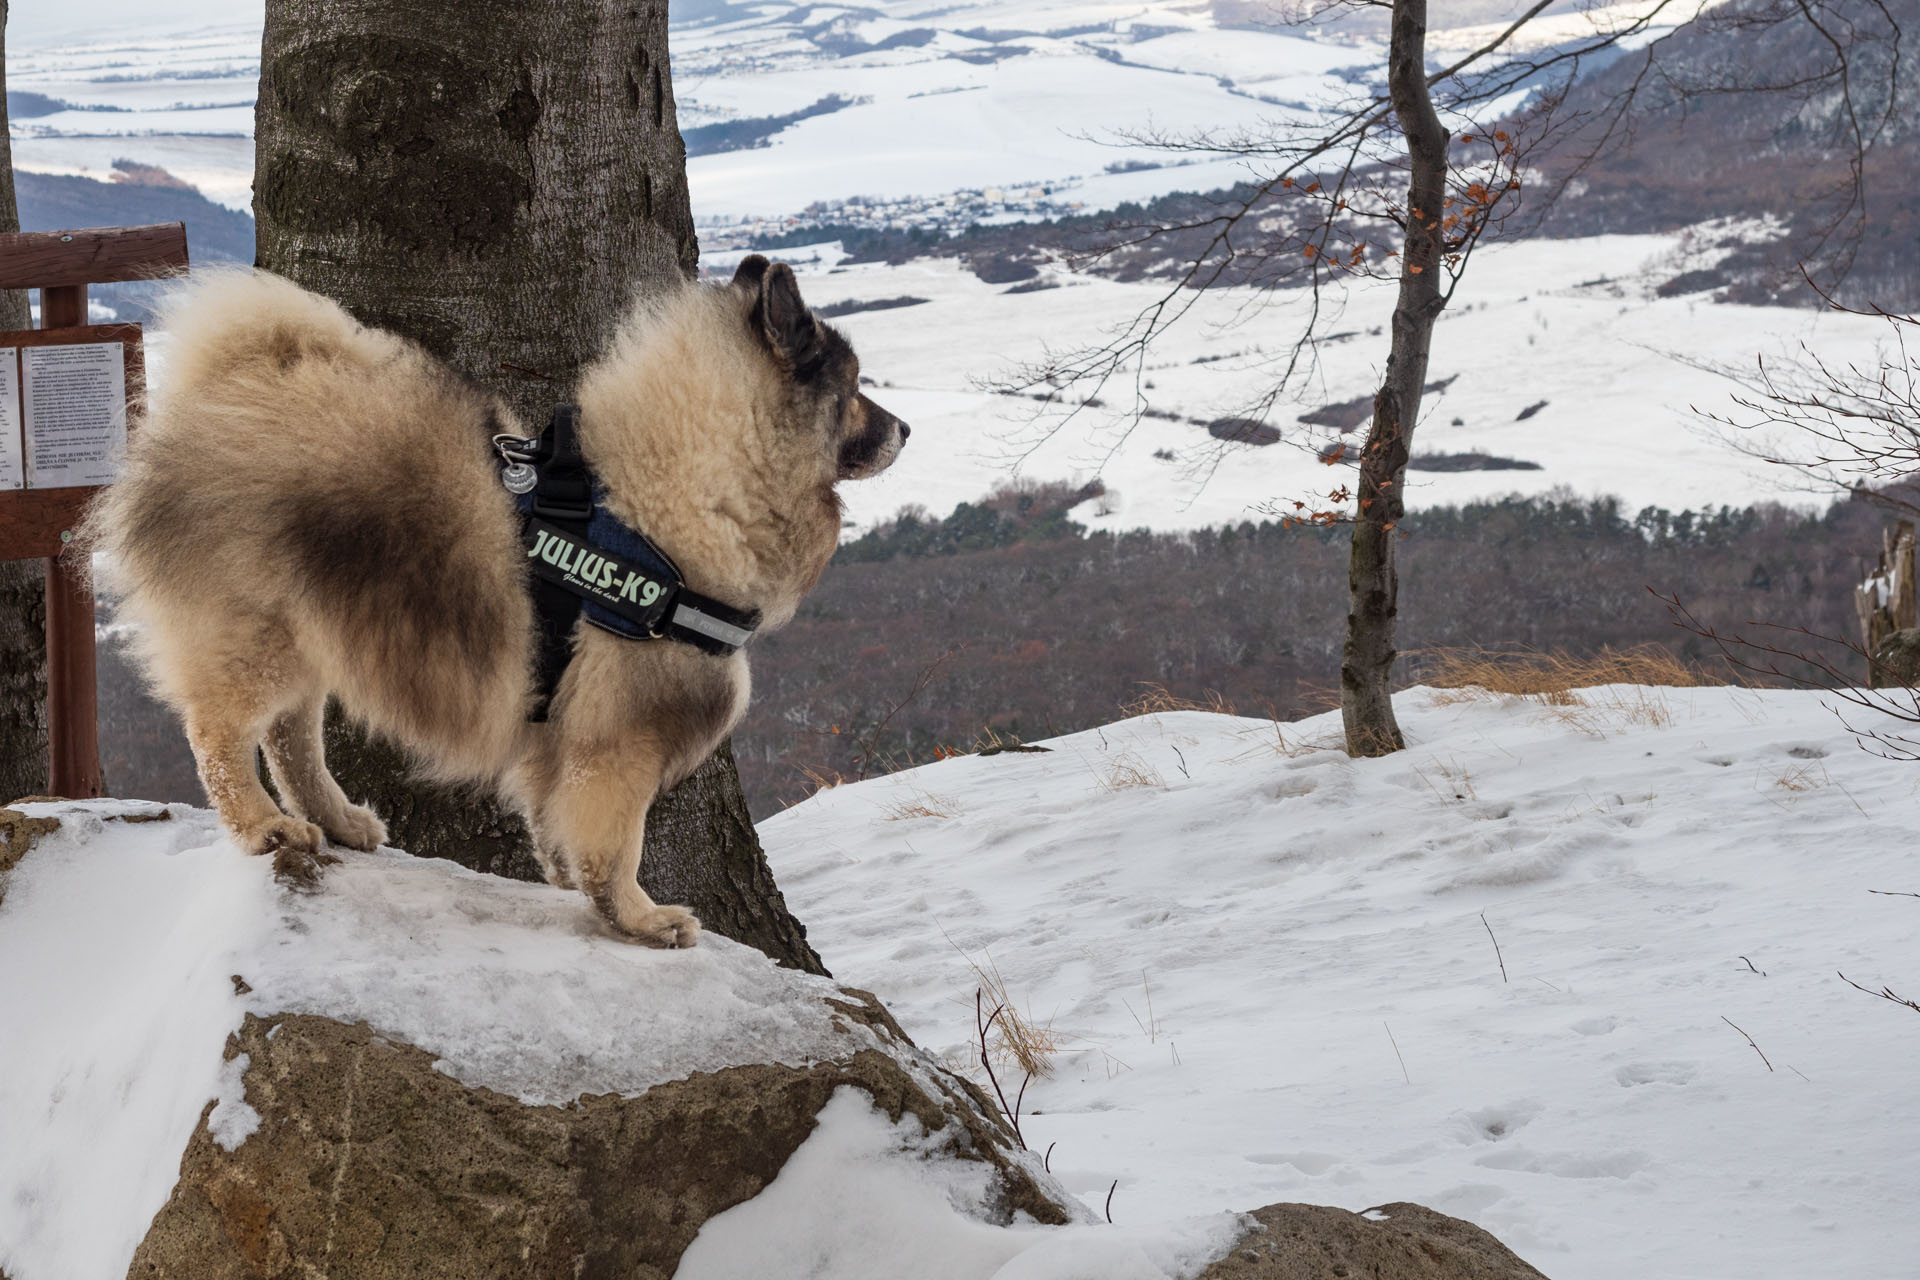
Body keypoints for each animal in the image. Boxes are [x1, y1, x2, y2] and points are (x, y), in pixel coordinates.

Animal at [84, 257, 906, 951]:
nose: (903, 427)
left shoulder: (567, 744)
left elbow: (560, 829)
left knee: (293, 741)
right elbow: (618, 845)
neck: (670, 503)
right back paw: (265, 829)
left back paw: (338, 820)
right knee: (222, 737)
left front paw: (573, 887)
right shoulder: (619, 744)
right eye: (854, 391)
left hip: (313, 636)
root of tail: (221, 390)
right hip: (258, 638)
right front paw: (639, 919)